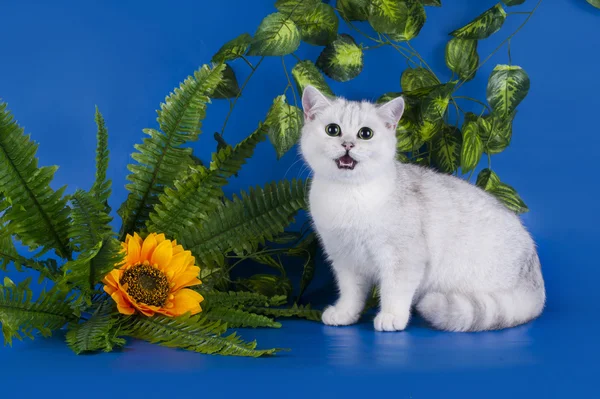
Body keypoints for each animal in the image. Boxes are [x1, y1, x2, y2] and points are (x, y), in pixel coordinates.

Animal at [298, 86, 544, 332]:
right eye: (333, 130)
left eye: (365, 134)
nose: (348, 144)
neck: (349, 196)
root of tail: (534, 282)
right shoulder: (345, 260)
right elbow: (351, 293)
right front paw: (344, 313)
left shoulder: (403, 259)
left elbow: (394, 290)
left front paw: (391, 316)